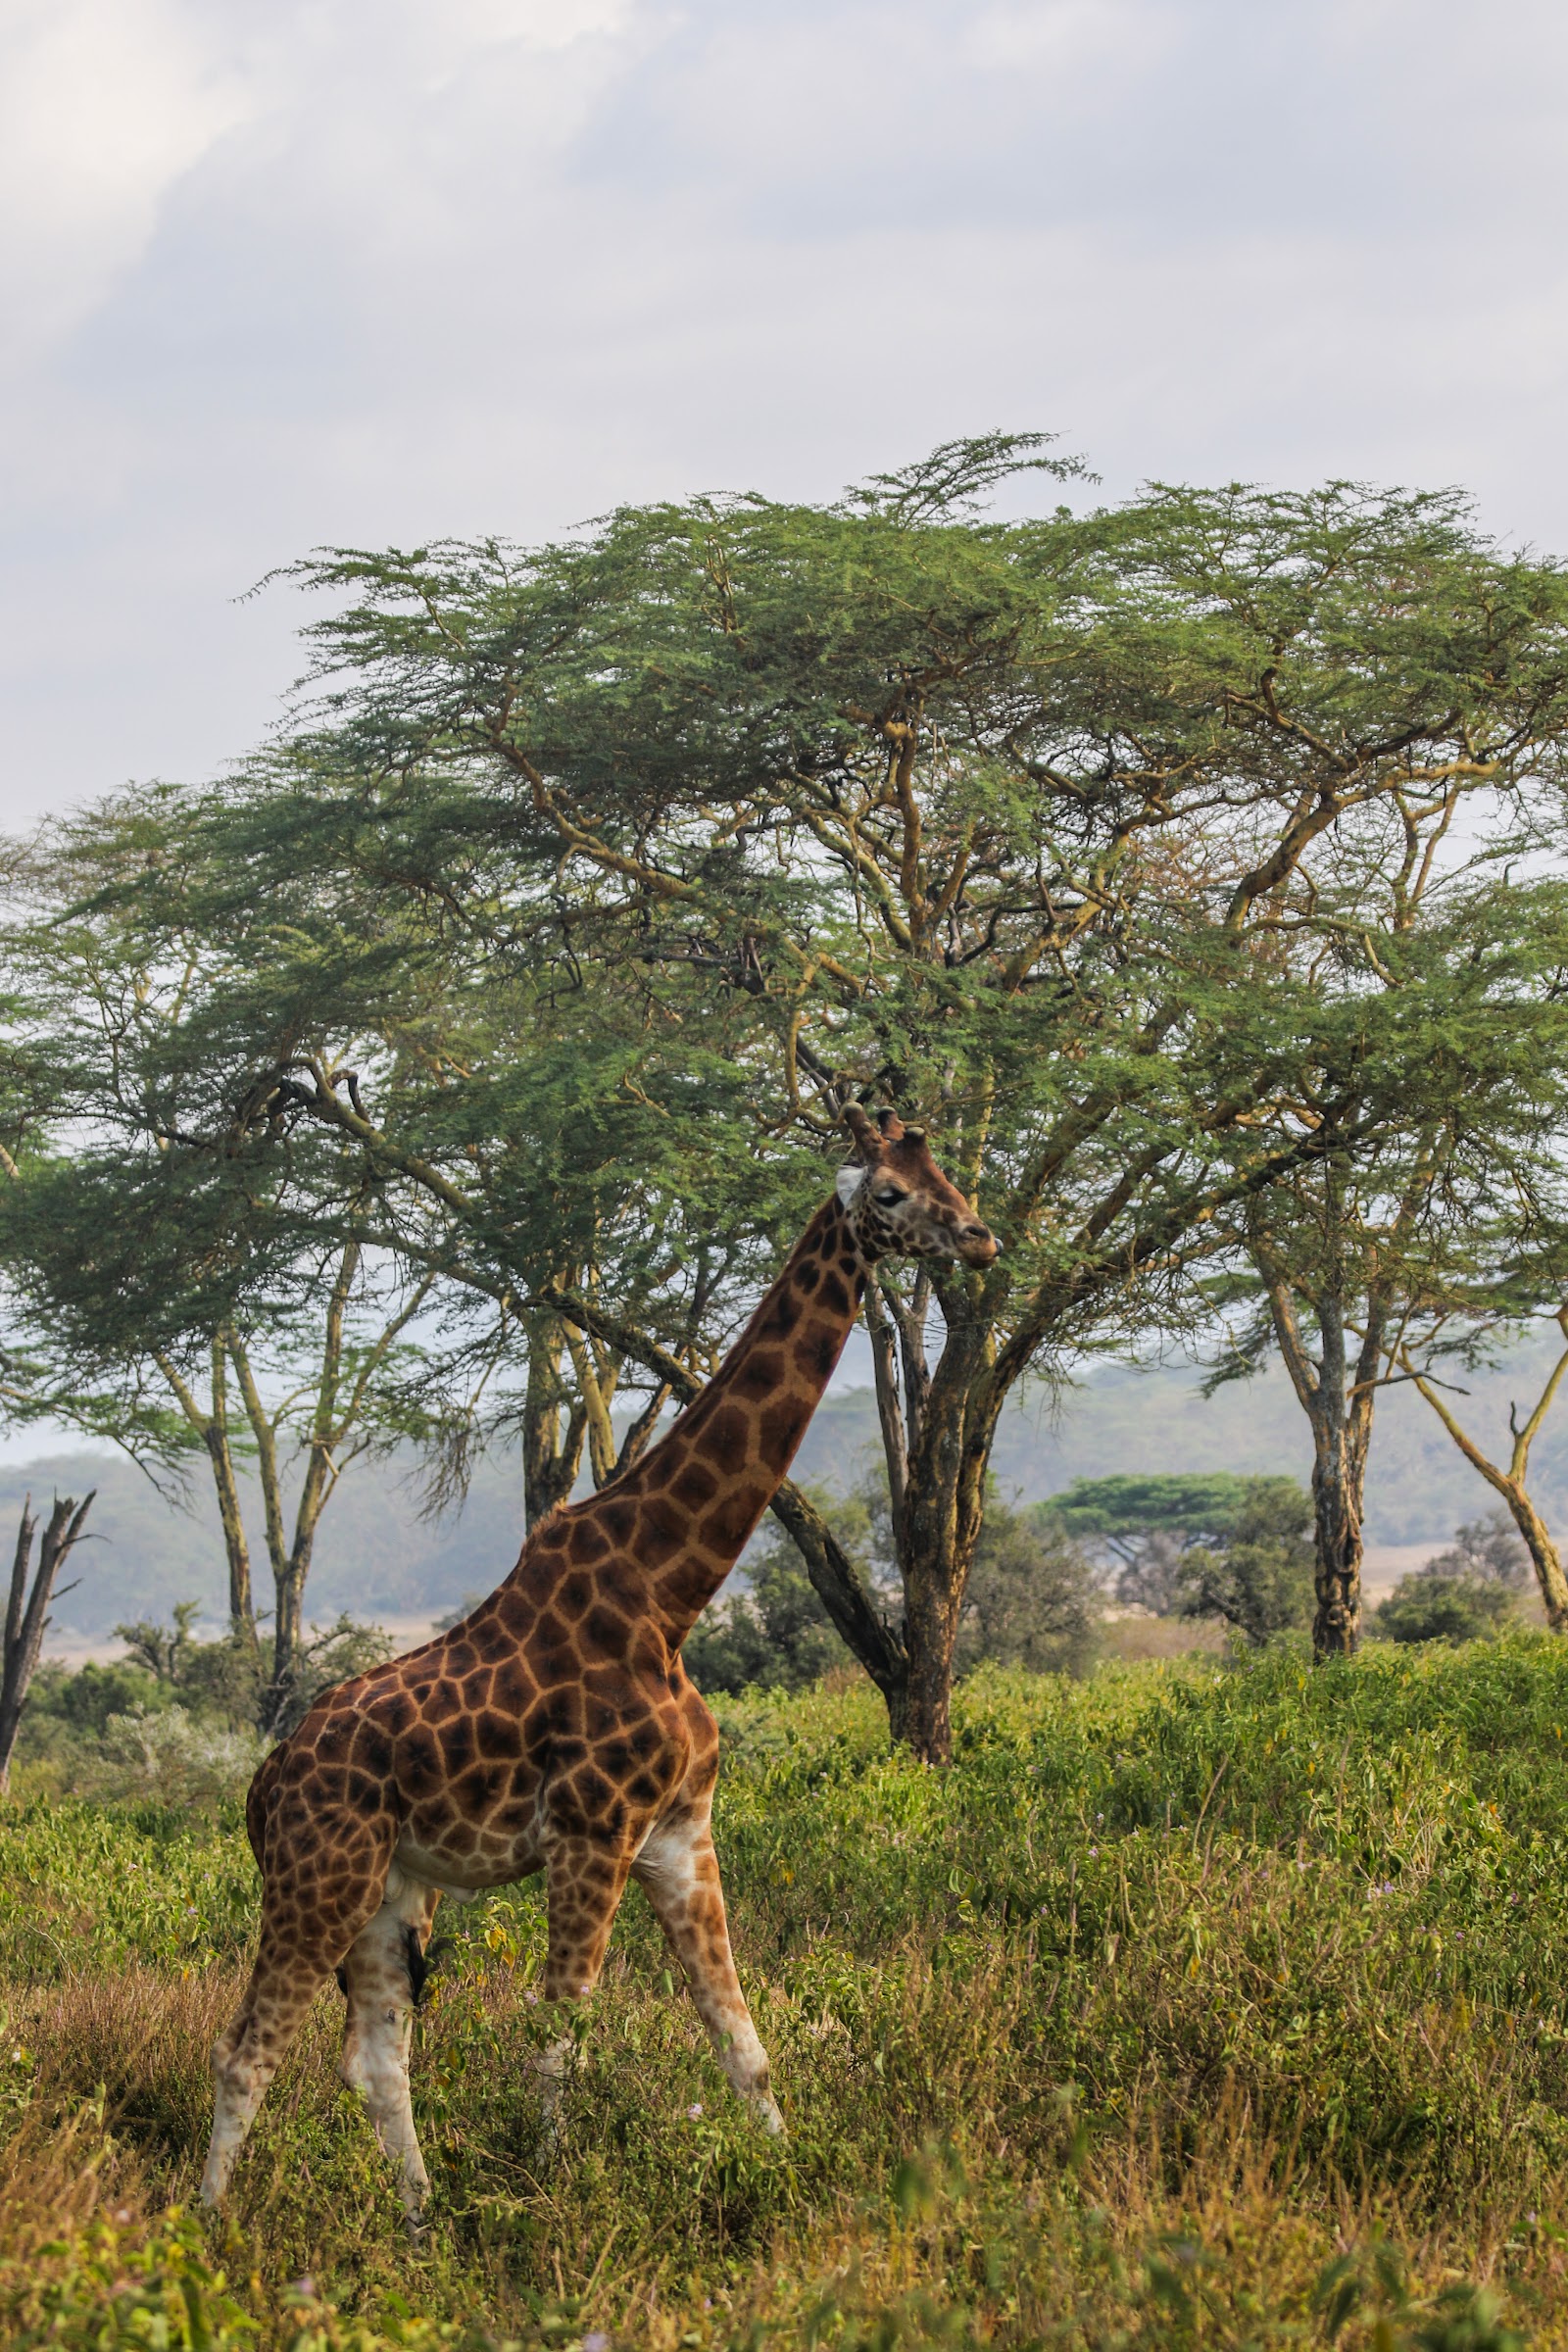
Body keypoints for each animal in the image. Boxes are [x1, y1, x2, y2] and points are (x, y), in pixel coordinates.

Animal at [198, 1107, 997, 2226]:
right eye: (889, 1192)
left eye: (947, 1172)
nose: (980, 1238)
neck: (667, 1593)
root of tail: (265, 1781)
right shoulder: (592, 1831)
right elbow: (560, 2034)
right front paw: (554, 2196)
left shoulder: (680, 1832)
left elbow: (740, 2035)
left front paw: (790, 2176)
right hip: (320, 1877)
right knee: (246, 2049)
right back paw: (205, 2228)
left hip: (393, 1892)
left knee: (375, 2056)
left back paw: (421, 2221)